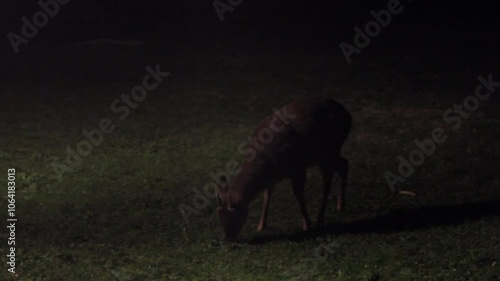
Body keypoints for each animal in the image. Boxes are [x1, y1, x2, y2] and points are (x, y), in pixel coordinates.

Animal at [215, 96, 352, 241]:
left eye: (234, 217)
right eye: (220, 219)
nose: (227, 239)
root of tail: (348, 115)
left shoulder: (297, 167)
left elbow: (298, 194)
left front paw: (306, 224)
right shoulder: (272, 177)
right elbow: (267, 195)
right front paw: (261, 225)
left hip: (328, 151)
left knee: (328, 180)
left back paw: (320, 220)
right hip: (332, 153)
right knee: (344, 163)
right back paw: (340, 206)